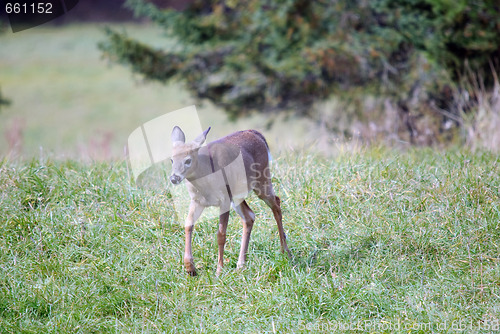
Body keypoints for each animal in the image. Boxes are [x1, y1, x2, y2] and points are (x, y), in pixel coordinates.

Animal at [170, 126, 292, 276]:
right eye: (172, 160)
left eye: (188, 160)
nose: (174, 178)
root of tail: (255, 133)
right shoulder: (197, 201)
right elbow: (188, 225)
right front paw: (190, 268)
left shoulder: (224, 199)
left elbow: (220, 235)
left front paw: (219, 271)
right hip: (237, 196)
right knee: (250, 216)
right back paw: (241, 265)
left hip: (262, 180)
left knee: (276, 203)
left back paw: (285, 251)